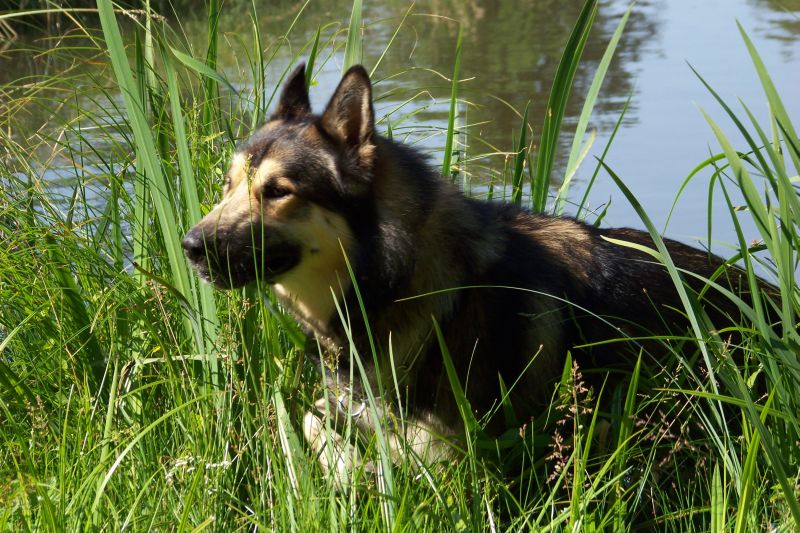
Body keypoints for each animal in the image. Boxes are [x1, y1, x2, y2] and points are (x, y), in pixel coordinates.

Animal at [184, 63, 764, 482]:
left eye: (278, 191)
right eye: (227, 185)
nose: (190, 247)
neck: (396, 280)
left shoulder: (456, 455)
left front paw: (354, 472)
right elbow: (312, 418)